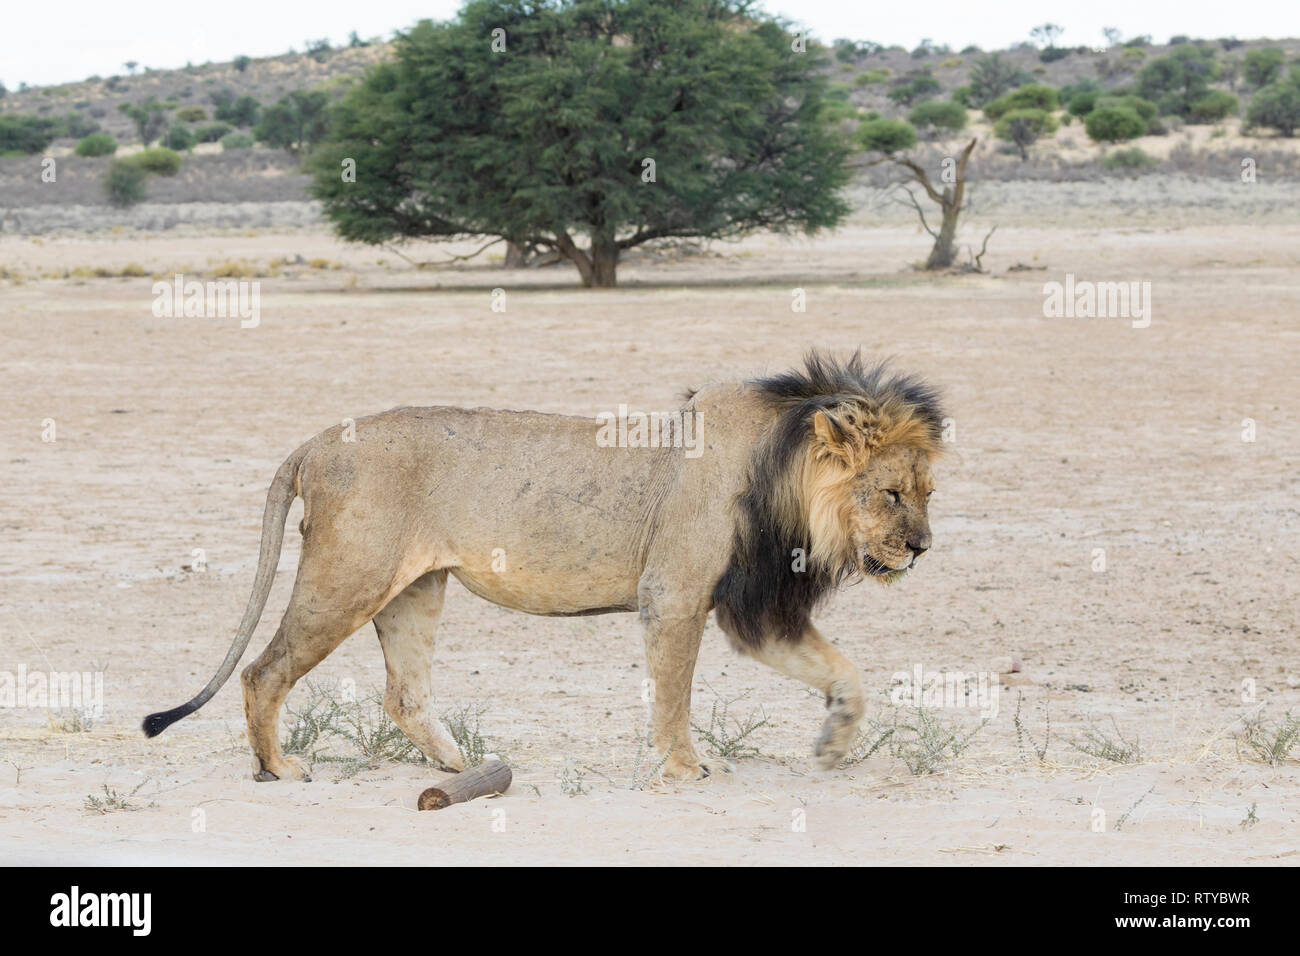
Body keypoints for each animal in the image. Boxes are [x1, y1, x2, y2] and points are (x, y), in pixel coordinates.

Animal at [142, 348, 946, 780]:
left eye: (929, 493)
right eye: (891, 493)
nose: (922, 548)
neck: (781, 471)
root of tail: (312, 443)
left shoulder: (751, 609)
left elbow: (845, 673)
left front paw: (834, 742)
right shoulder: (677, 595)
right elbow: (674, 697)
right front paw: (684, 767)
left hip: (415, 589)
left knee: (403, 695)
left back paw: (461, 767)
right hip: (349, 579)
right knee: (262, 671)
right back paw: (279, 768)